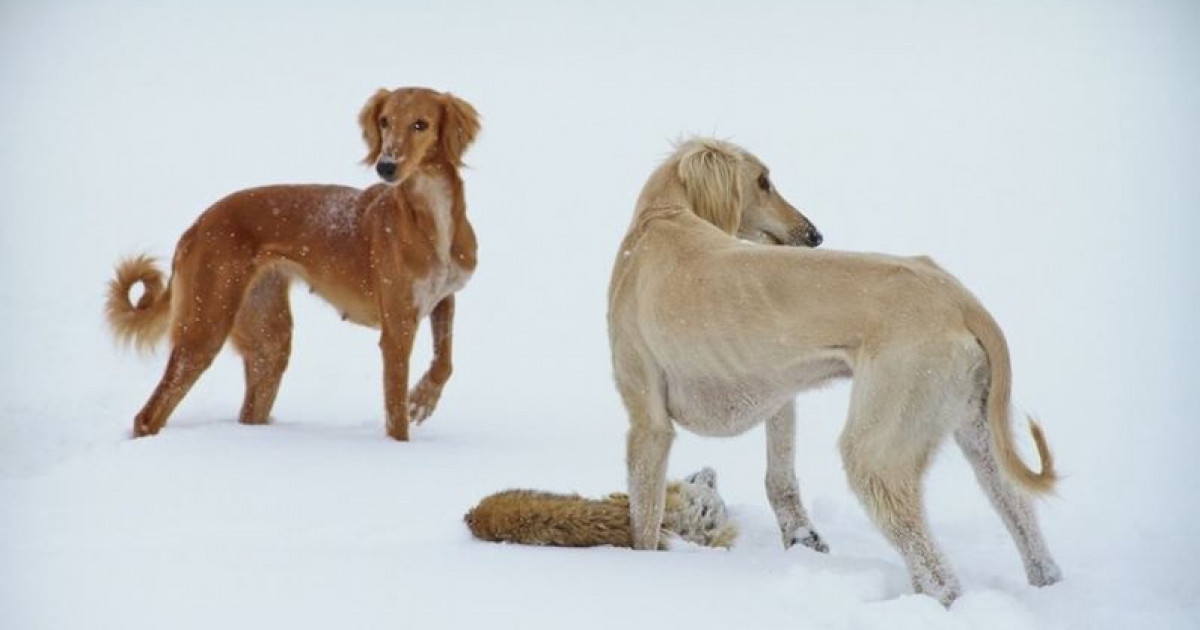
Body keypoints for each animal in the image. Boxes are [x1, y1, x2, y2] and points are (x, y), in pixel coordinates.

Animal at [106, 85, 482, 439]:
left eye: (421, 124)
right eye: (385, 121)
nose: (385, 166)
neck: (431, 215)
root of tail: (196, 225)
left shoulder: (443, 298)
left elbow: (444, 362)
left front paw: (423, 399)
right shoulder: (397, 330)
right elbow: (396, 417)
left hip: (268, 339)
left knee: (249, 411)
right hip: (205, 325)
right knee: (148, 415)